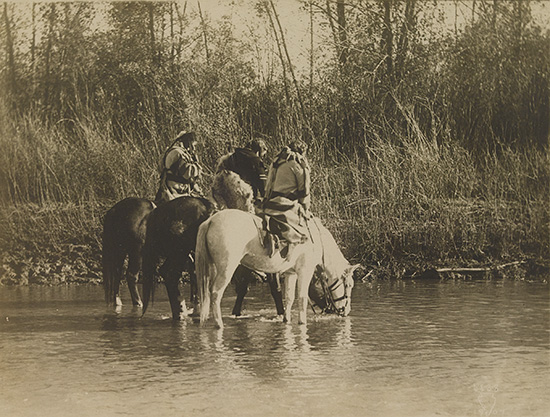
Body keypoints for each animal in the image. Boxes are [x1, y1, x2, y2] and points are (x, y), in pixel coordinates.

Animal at [194, 210, 358, 326]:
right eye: (349, 285)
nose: (346, 311)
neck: (315, 240)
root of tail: (210, 221)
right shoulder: (305, 271)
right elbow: (302, 298)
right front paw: (302, 322)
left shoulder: (291, 273)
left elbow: (289, 298)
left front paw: (286, 320)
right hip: (226, 269)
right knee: (216, 293)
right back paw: (219, 324)